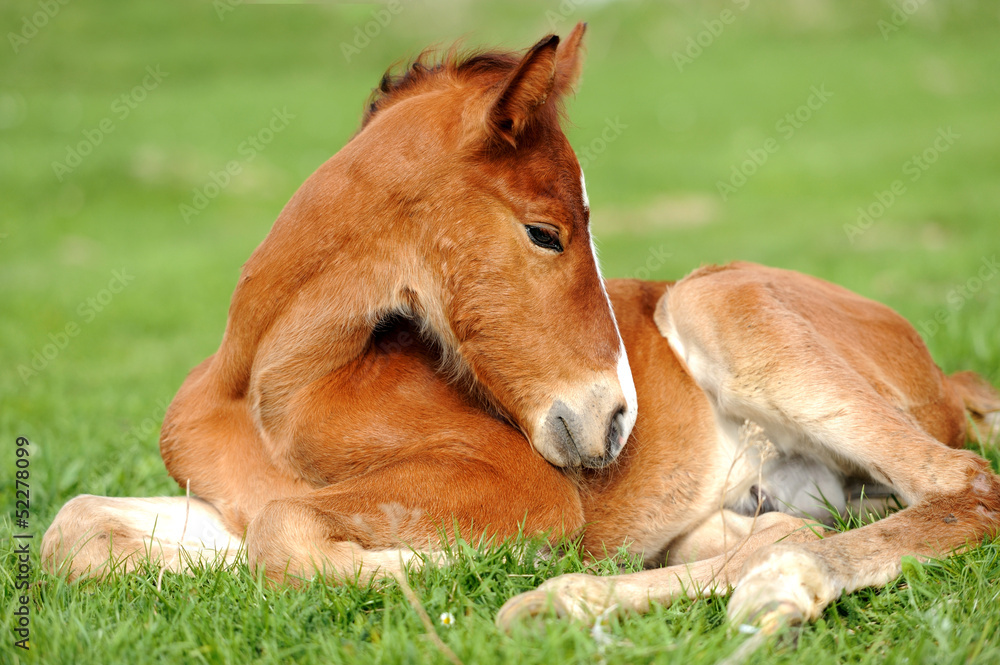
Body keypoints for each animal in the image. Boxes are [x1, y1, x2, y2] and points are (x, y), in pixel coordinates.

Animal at [45, 23, 1000, 632]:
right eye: (546, 231)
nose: (616, 418)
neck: (271, 390)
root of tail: (947, 378)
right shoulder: (224, 500)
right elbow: (76, 525)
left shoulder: (519, 487)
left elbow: (283, 528)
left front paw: (447, 571)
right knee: (804, 518)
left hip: (716, 301)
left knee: (959, 486)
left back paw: (741, 589)